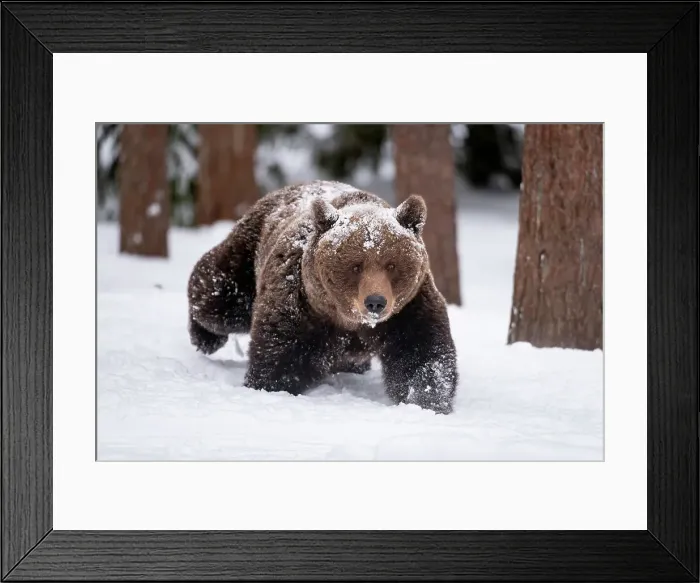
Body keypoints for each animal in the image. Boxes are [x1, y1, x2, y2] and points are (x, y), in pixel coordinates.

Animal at [187, 180, 458, 415]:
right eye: (356, 266)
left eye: (391, 264)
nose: (375, 302)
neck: (348, 320)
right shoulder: (302, 307)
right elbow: (280, 356)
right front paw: (268, 385)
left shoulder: (407, 309)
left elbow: (421, 354)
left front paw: (427, 401)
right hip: (247, 257)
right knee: (218, 298)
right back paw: (204, 336)